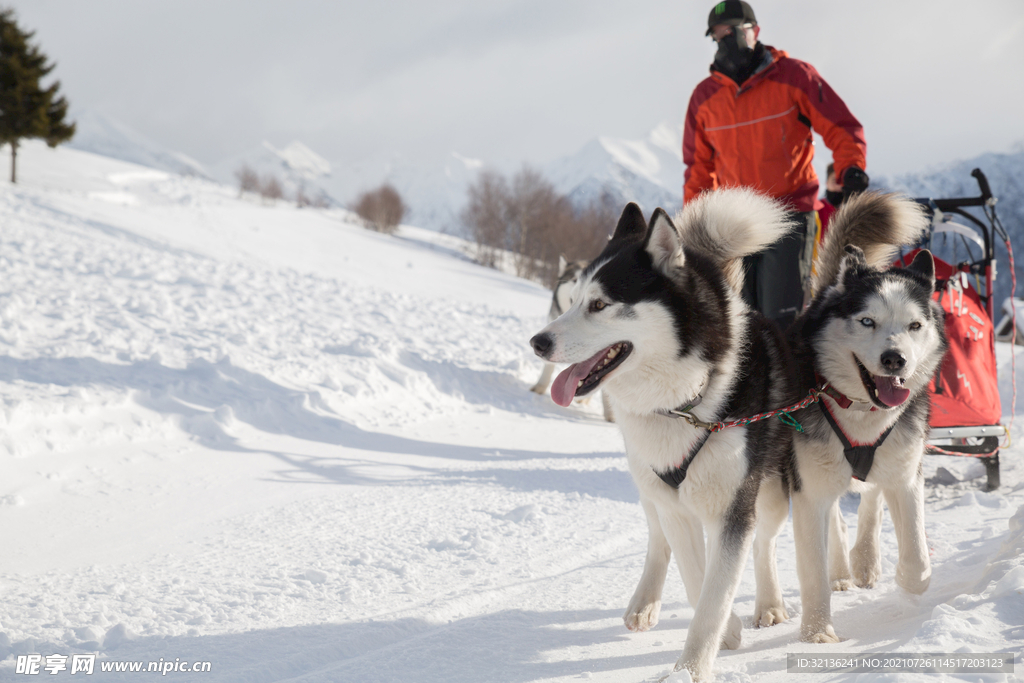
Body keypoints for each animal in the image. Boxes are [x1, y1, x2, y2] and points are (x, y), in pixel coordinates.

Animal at [532, 189, 794, 679]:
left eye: (599, 304)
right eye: (573, 299)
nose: (537, 342)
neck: (686, 402)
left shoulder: (733, 508)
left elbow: (715, 591)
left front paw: (693, 667)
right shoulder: (673, 502)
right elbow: (696, 579)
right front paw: (724, 633)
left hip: (769, 489)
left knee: (765, 541)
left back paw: (769, 603)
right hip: (648, 480)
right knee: (658, 538)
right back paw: (644, 603)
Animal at [782, 191, 942, 643]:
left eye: (914, 325)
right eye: (867, 320)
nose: (894, 359)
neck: (861, 409)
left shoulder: (907, 473)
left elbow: (918, 559)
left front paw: (905, 579)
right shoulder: (808, 489)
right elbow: (812, 569)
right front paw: (817, 631)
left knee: (870, 498)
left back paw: (865, 560)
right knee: (837, 516)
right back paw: (841, 569)